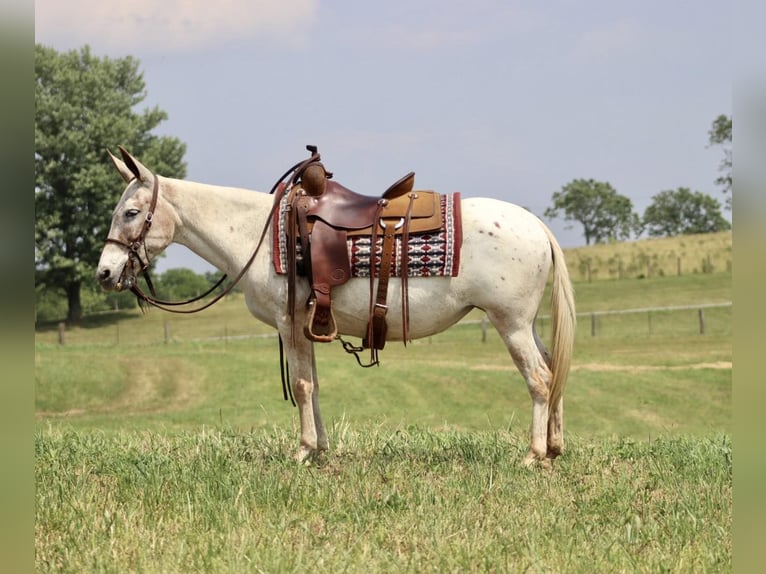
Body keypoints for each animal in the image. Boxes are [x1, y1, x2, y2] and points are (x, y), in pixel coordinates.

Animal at [97, 148, 576, 468]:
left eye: (131, 212)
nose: (104, 272)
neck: (257, 234)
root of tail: (537, 226)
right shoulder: (305, 324)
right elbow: (315, 385)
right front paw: (321, 448)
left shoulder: (290, 323)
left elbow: (302, 385)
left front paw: (304, 451)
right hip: (524, 323)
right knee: (553, 372)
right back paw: (554, 448)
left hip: (510, 322)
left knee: (539, 378)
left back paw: (533, 455)